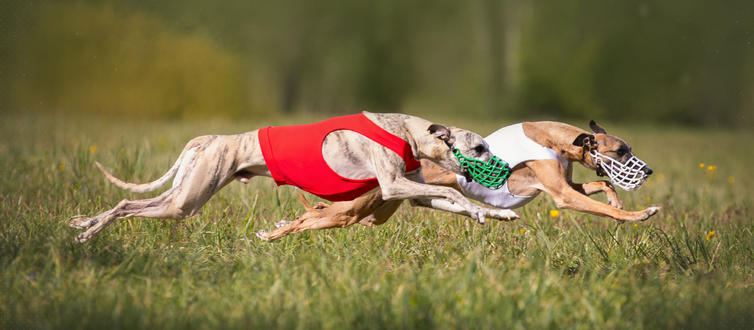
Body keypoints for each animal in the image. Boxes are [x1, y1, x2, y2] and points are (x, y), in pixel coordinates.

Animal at [69, 111, 516, 242]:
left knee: (127, 202)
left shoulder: (415, 190)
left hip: (183, 193)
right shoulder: (391, 184)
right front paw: (480, 210)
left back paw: (83, 224)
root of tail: (206, 139)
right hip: (186, 201)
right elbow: (456, 196)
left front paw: (499, 214)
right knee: (127, 204)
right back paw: (88, 233)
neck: (406, 130)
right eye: (480, 148)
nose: (508, 170)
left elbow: (448, 200)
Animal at [256, 120, 656, 241]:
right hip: (355, 211)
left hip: (377, 210)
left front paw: (617, 199)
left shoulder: (567, 186)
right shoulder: (562, 195)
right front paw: (638, 214)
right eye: (622, 150)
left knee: (318, 212)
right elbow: (594, 202)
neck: (552, 136)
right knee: (308, 220)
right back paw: (269, 236)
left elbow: (601, 185)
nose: (649, 171)